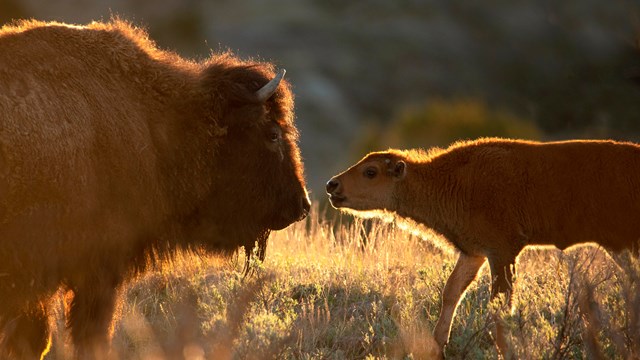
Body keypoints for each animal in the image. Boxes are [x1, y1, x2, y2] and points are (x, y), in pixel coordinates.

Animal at [328, 138, 636, 358]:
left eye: (371, 172)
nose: (332, 184)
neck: (449, 181)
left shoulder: (502, 253)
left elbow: (499, 308)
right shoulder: (473, 252)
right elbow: (451, 292)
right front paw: (438, 344)